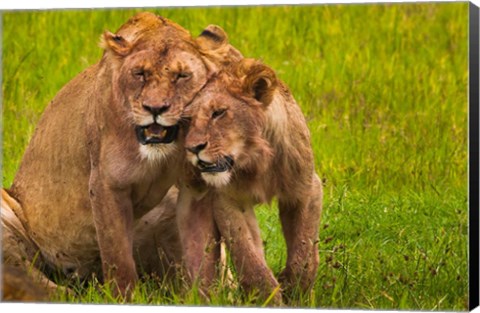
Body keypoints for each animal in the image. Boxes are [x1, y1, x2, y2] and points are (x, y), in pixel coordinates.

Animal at [1, 11, 244, 294]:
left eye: (182, 76)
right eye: (140, 74)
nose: (155, 108)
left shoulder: (196, 190)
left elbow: (205, 255)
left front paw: (208, 294)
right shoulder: (106, 184)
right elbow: (118, 257)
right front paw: (124, 296)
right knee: (37, 278)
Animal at [178, 58, 324, 302]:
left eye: (218, 113)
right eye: (188, 120)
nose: (193, 148)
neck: (256, 161)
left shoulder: (306, 190)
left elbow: (304, 251)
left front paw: (296, 290)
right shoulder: (227, 201)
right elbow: (249, 259)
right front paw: (268, 299)